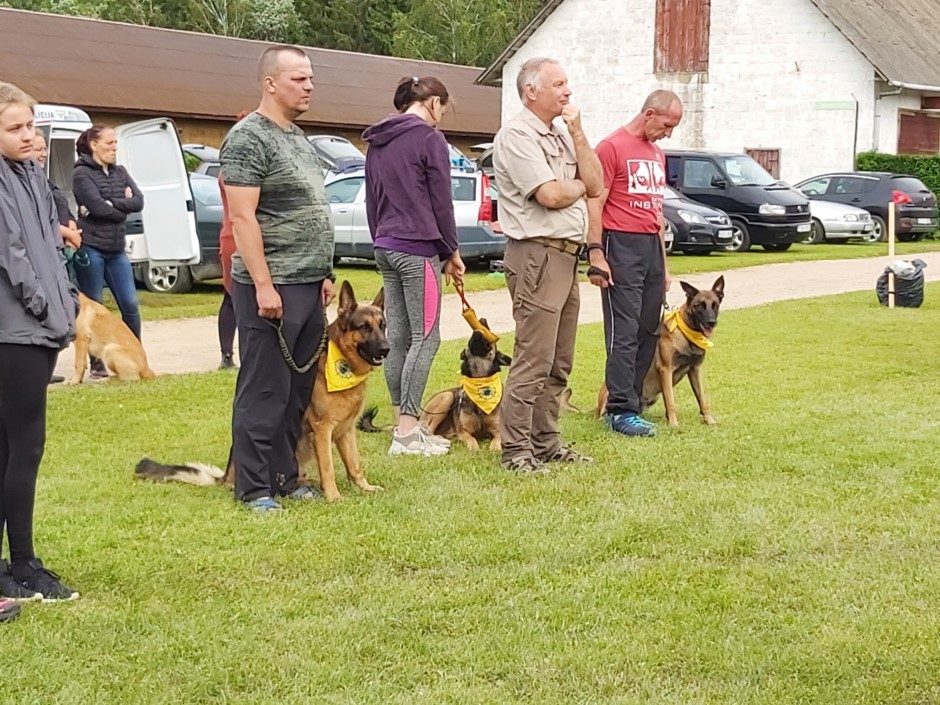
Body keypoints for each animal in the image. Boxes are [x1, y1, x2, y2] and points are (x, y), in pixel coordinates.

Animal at [136, 280, 390, 500]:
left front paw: (365, 487)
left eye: (382, 326)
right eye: (364, 327)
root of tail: (225, 476)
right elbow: (327, 467)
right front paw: (334, 496)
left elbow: (355, 464)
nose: (387, 349)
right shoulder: (322, 430)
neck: (342, 361)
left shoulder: (346, 430)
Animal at [418, 324, 510, 452]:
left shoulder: (497, 430)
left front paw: (495, 448)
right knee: (427, 431)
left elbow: (497, 439)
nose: (482, 321)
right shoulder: (464, 431)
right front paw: (474, 448)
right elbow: (472, 439)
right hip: (447, 397)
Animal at [600, 276, 724, 426]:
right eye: (700, 305)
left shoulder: (695, 369)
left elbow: (702, 399)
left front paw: (709, 420)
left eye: (715, 305)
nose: (711, 322)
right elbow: (671, 402)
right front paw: (674, 424)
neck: (686, 334)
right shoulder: (666, 369)